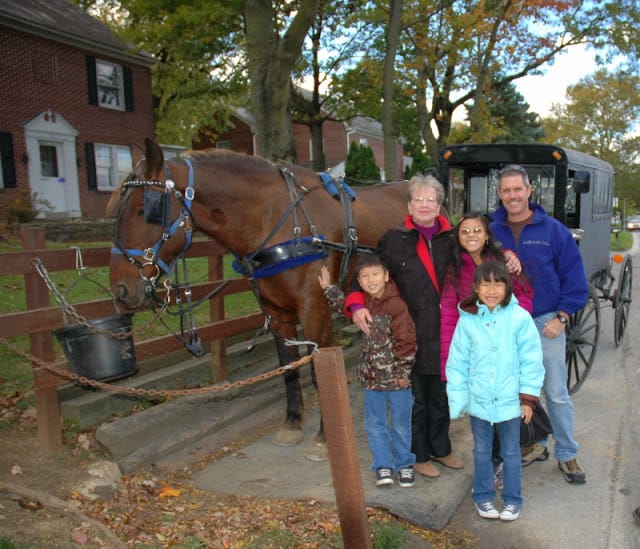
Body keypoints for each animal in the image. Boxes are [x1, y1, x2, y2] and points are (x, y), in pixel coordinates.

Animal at [109, 137, 410, 458]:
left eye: (146, 209)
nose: (121, 290)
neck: (275, 218)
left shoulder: (314, 309)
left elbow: (318, 371)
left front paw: (324, 437)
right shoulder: (277, 311)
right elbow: (288, 368)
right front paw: (292, 423)